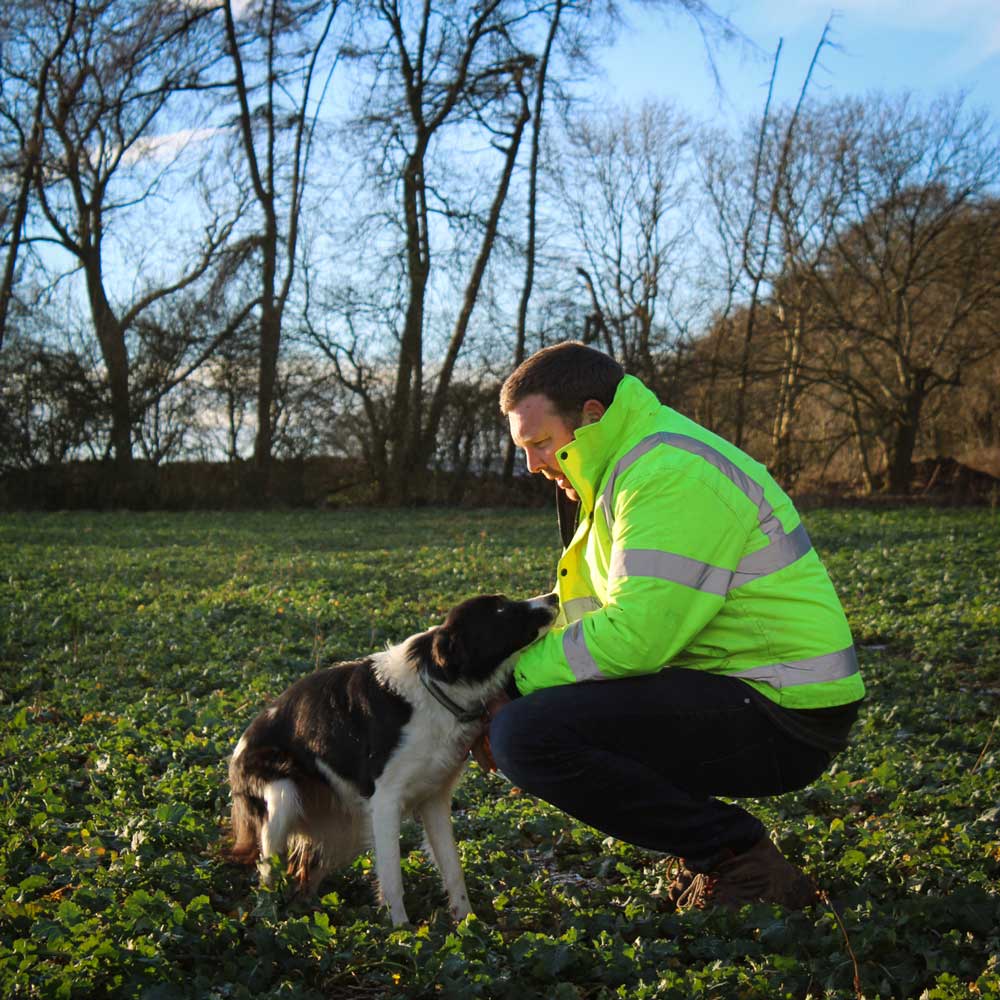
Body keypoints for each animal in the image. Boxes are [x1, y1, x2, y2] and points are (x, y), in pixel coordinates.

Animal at [229, 588, 564, 924]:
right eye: (501, 610)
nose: (553, 597)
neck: (437, 687)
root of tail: (237, 749)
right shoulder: (385, 802)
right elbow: (392, 876)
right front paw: (400, 929)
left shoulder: (434, 800)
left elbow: (453, 869)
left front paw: (468, 923)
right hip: (283, 796)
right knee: (269, 870)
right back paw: (272, 919)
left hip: (345, 829)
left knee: (303, 874)